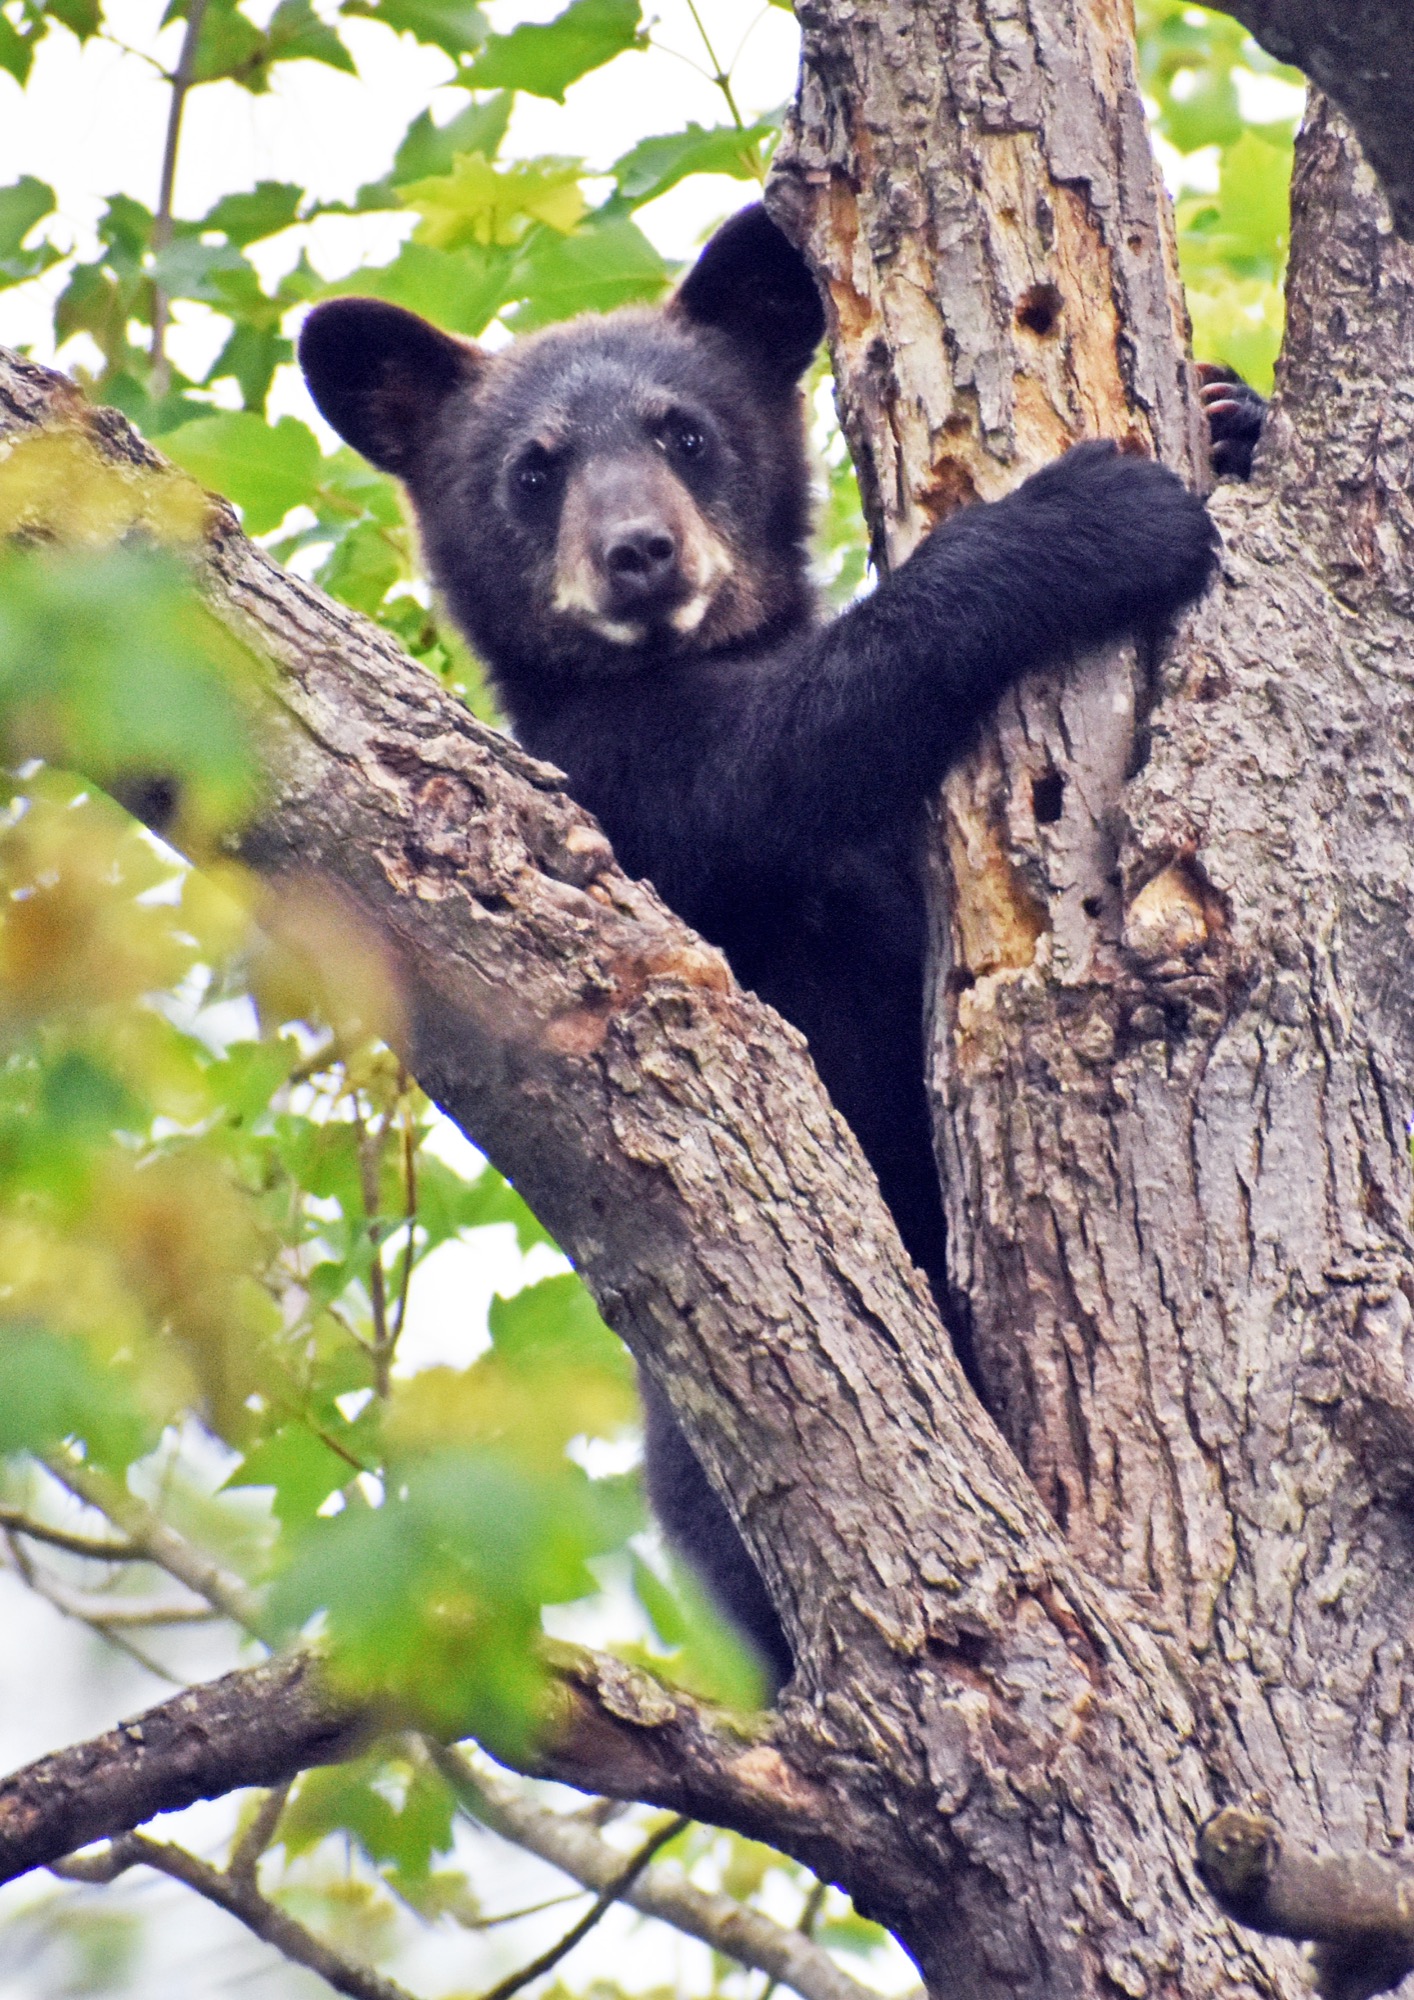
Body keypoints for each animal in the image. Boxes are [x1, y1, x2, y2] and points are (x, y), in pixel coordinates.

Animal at [299, 204, 1227, 1692]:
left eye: (685, 431)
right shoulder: (618, 785)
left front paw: (1230, 410)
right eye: (532, 470)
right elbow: (788, 742)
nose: (637, 552)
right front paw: (1088, 520)